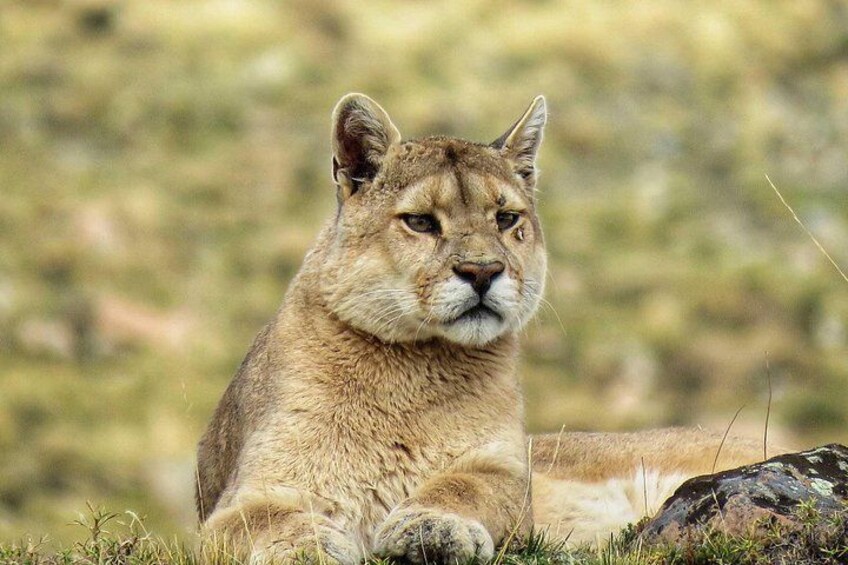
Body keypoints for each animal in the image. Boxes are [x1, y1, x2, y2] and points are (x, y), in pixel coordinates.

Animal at [195, 93, 769, 563]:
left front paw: (433, 527)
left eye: (506, 217)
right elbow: (268, 520)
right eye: (421, 221)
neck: (409, 370)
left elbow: (463, 488)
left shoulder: (506, 471)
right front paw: (312, 545)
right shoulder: (240, 501)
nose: (481, 272)